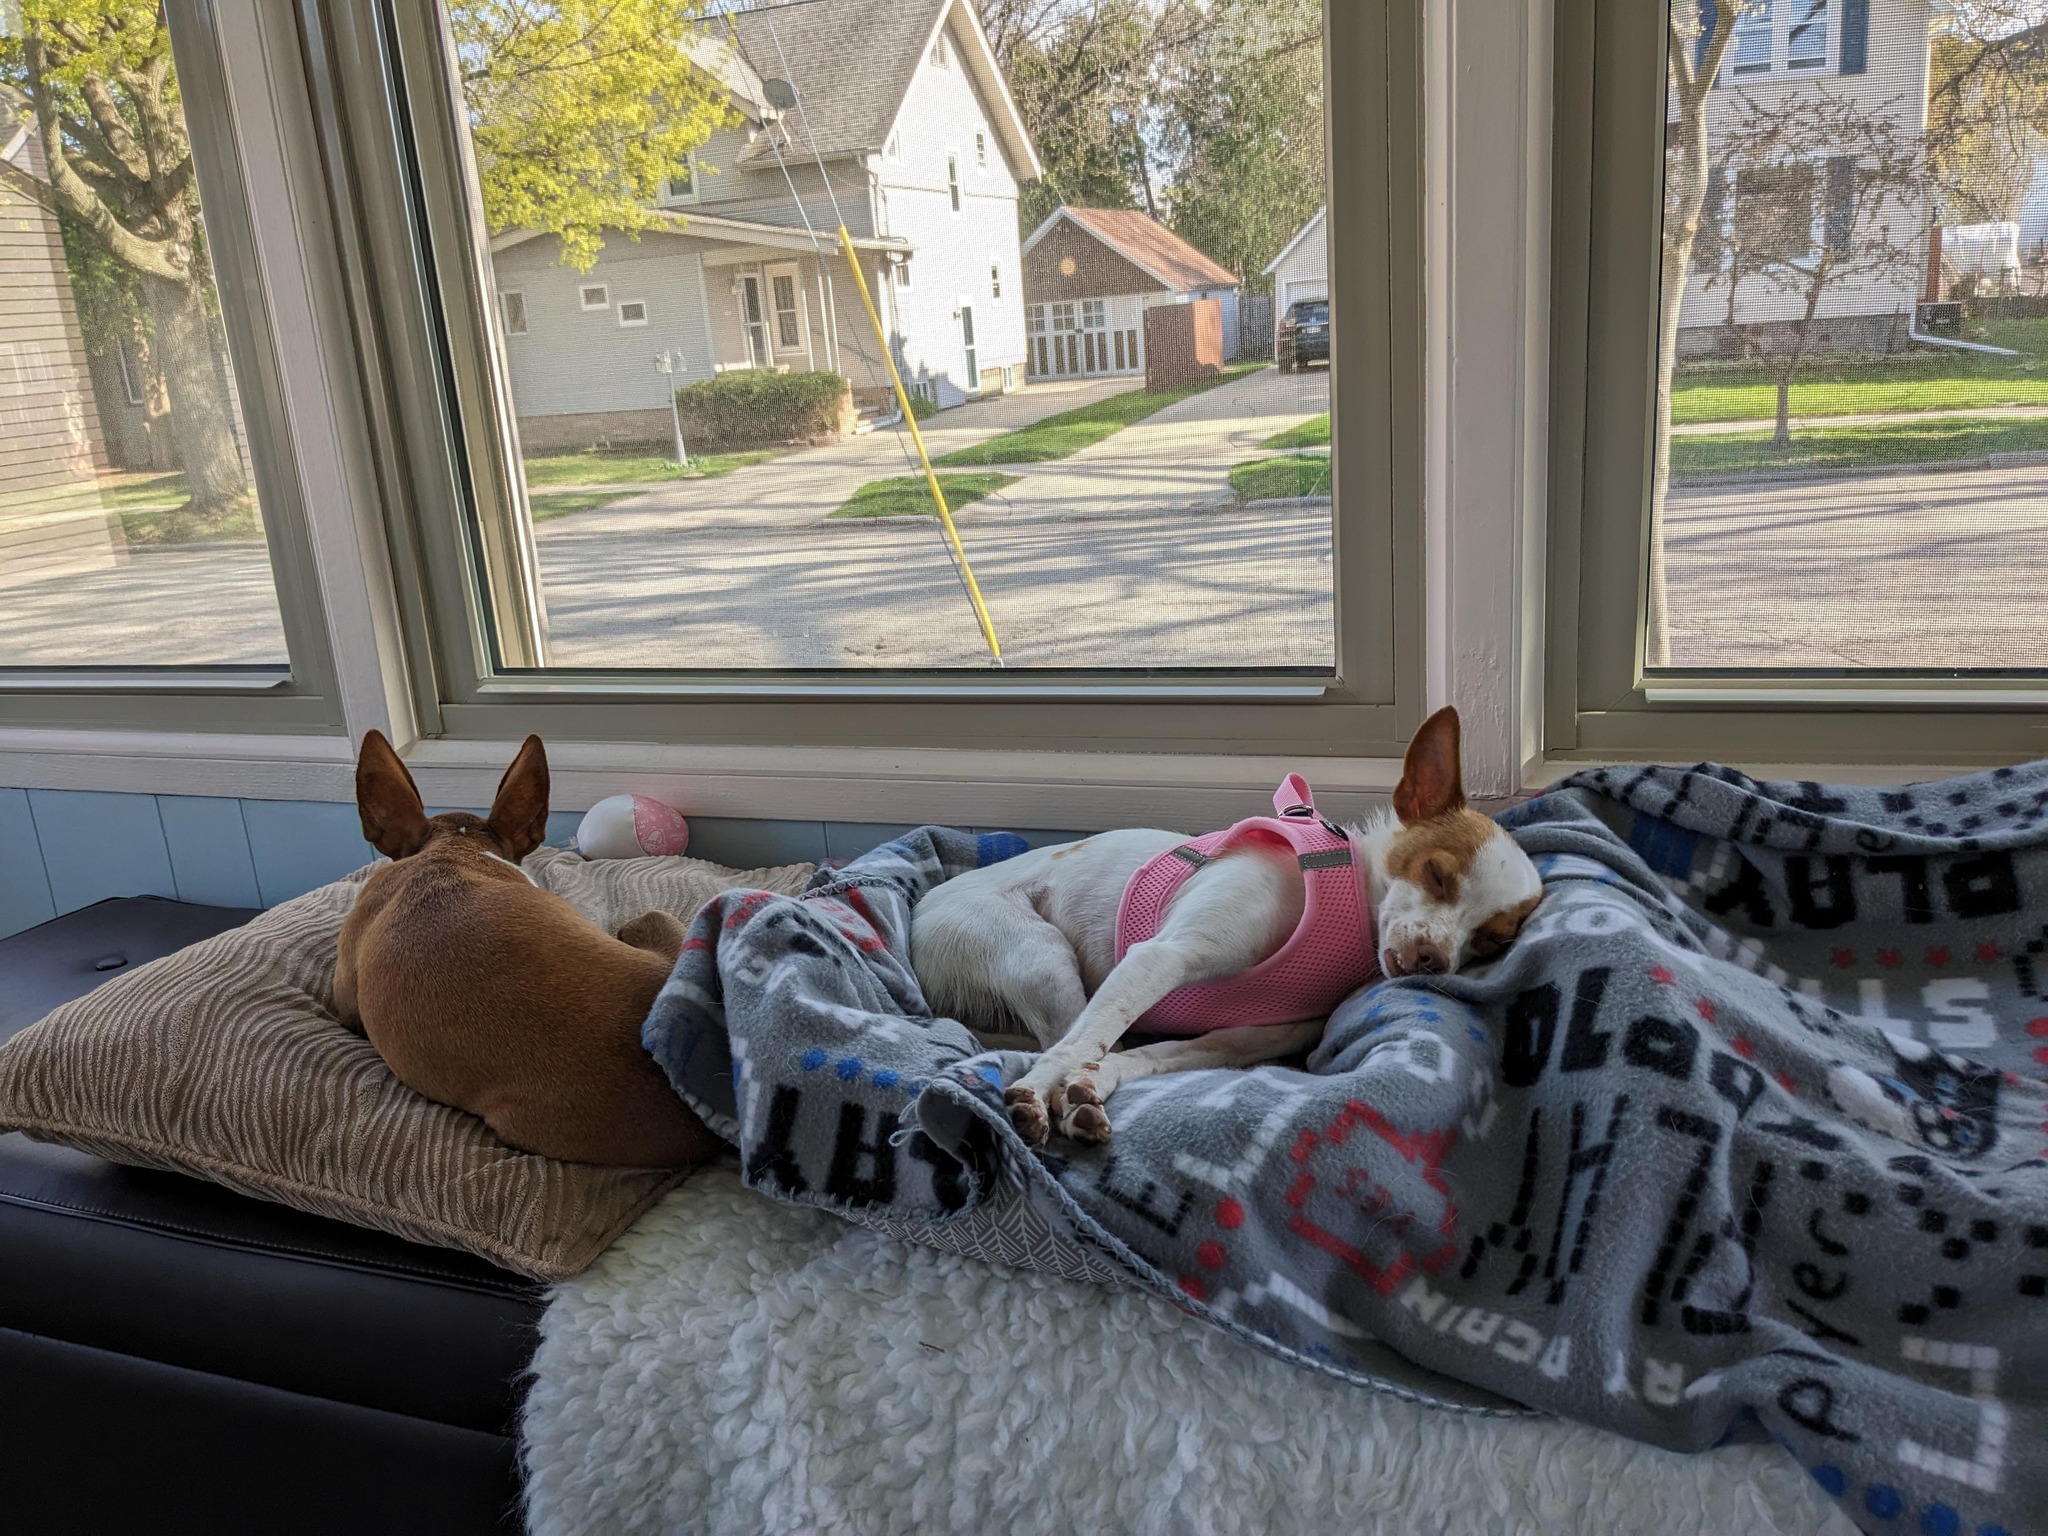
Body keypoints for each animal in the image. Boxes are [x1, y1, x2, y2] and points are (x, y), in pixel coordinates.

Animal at [913, 708, 1540, 1146]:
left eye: (1490, 941)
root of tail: (919, 915)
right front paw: (1040, 1091)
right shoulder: (1160, 957)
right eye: (1437, 874)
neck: (1344, 914)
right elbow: (1084, 1042)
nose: (1435, 959)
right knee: (1064, 1033)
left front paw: (1091, 1090)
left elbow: (1141, 1055)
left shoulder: (1241, 1040)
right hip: (1041, 957)